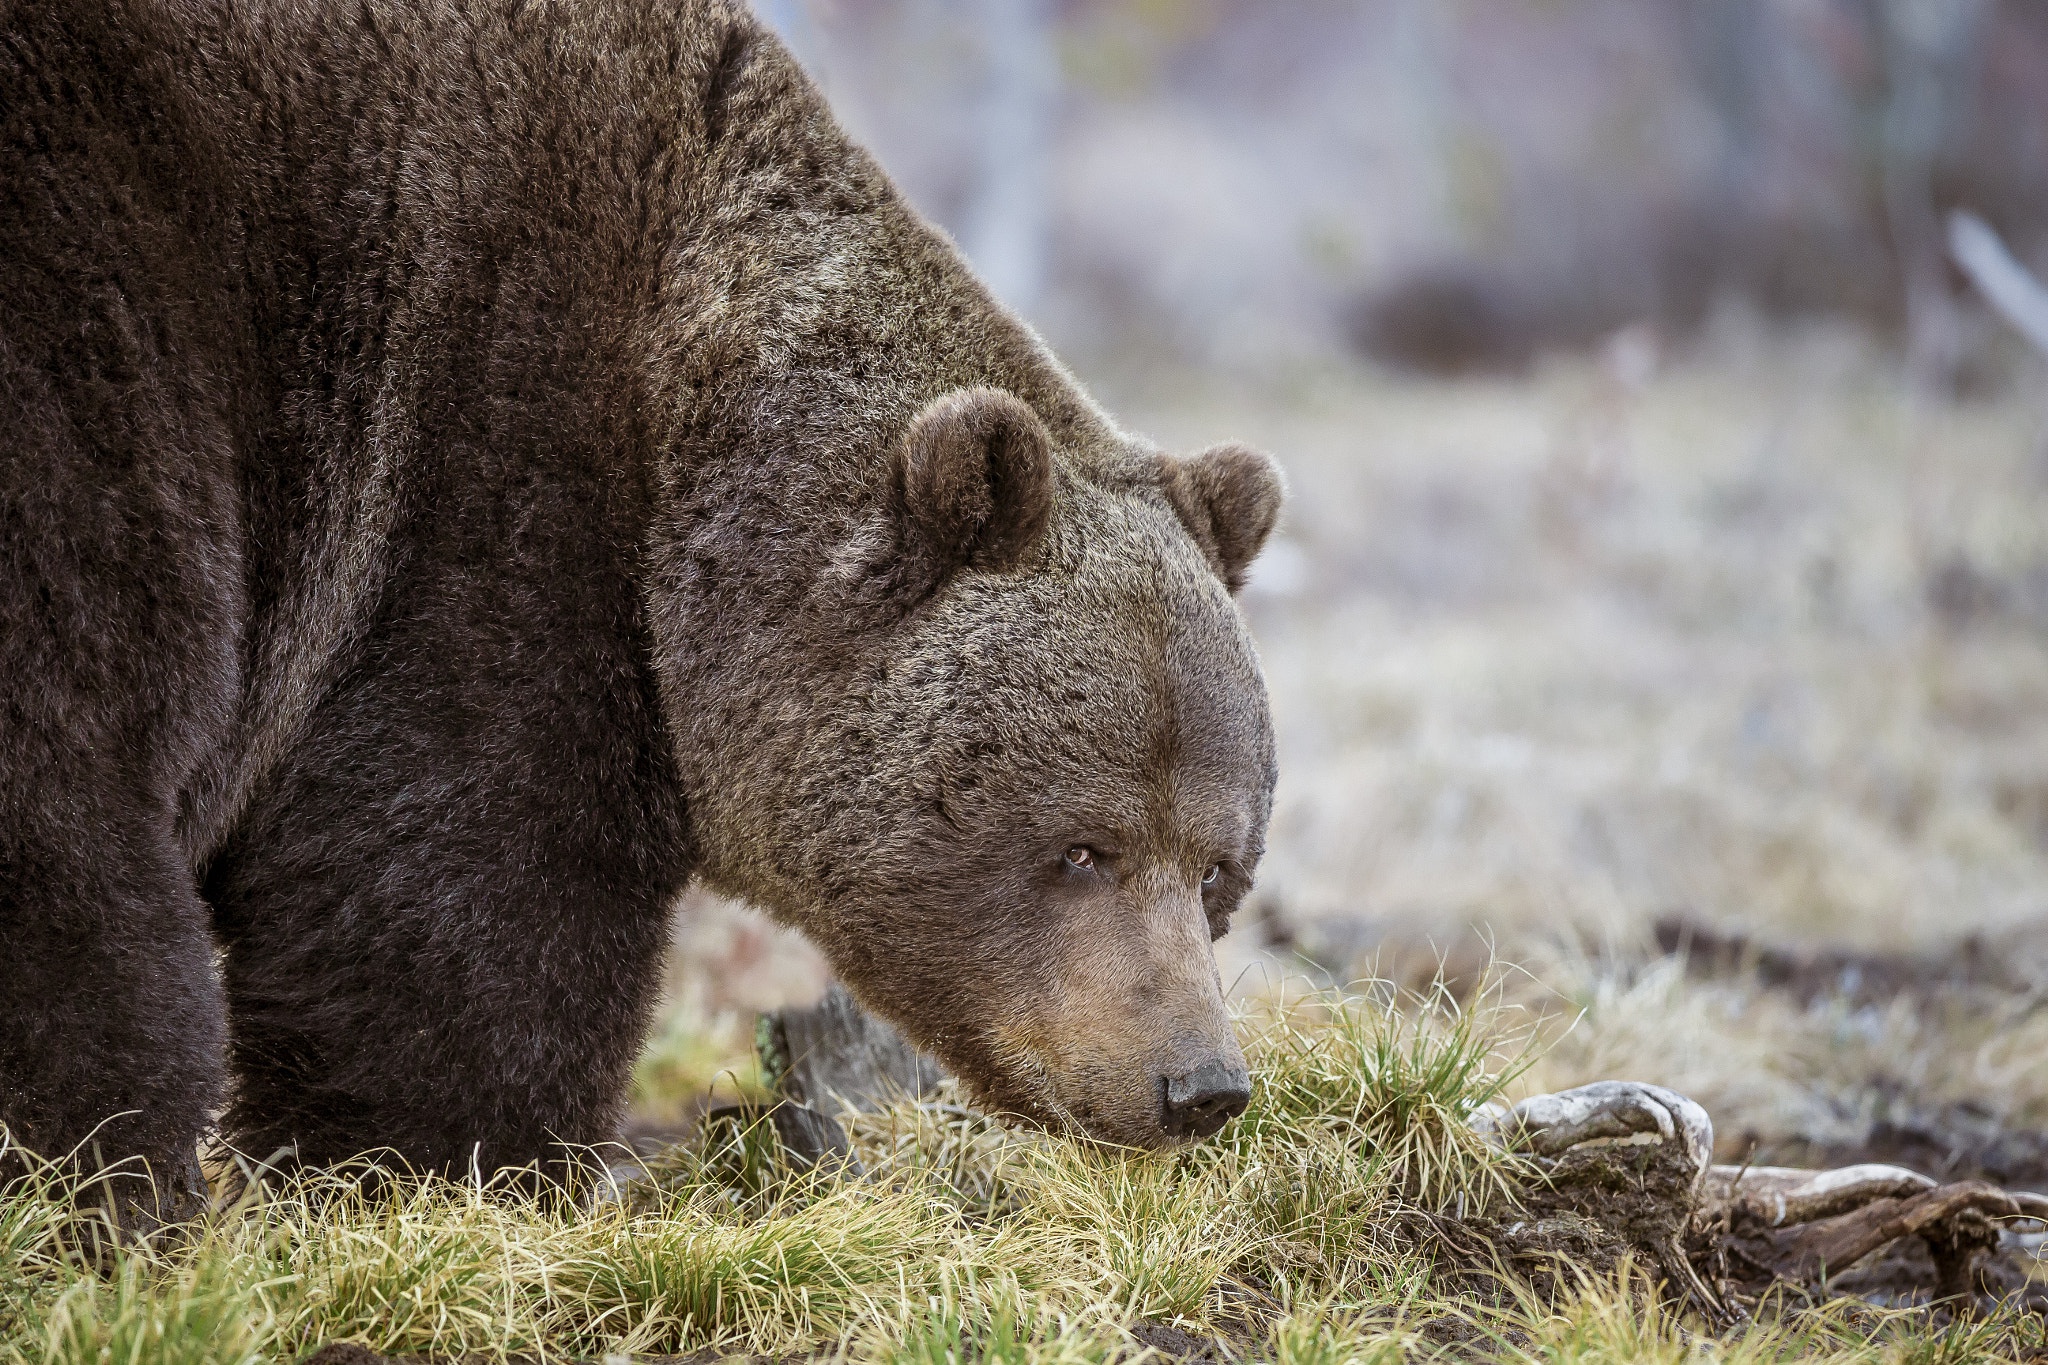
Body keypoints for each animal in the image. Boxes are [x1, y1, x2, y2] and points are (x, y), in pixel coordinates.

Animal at [0, 0, 1277, 1227]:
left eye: (1217, 868)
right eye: (1081, 848)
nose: (1199, 1085)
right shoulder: (476, 498)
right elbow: (450, 906)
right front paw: (438, 1179)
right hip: (98, 331)